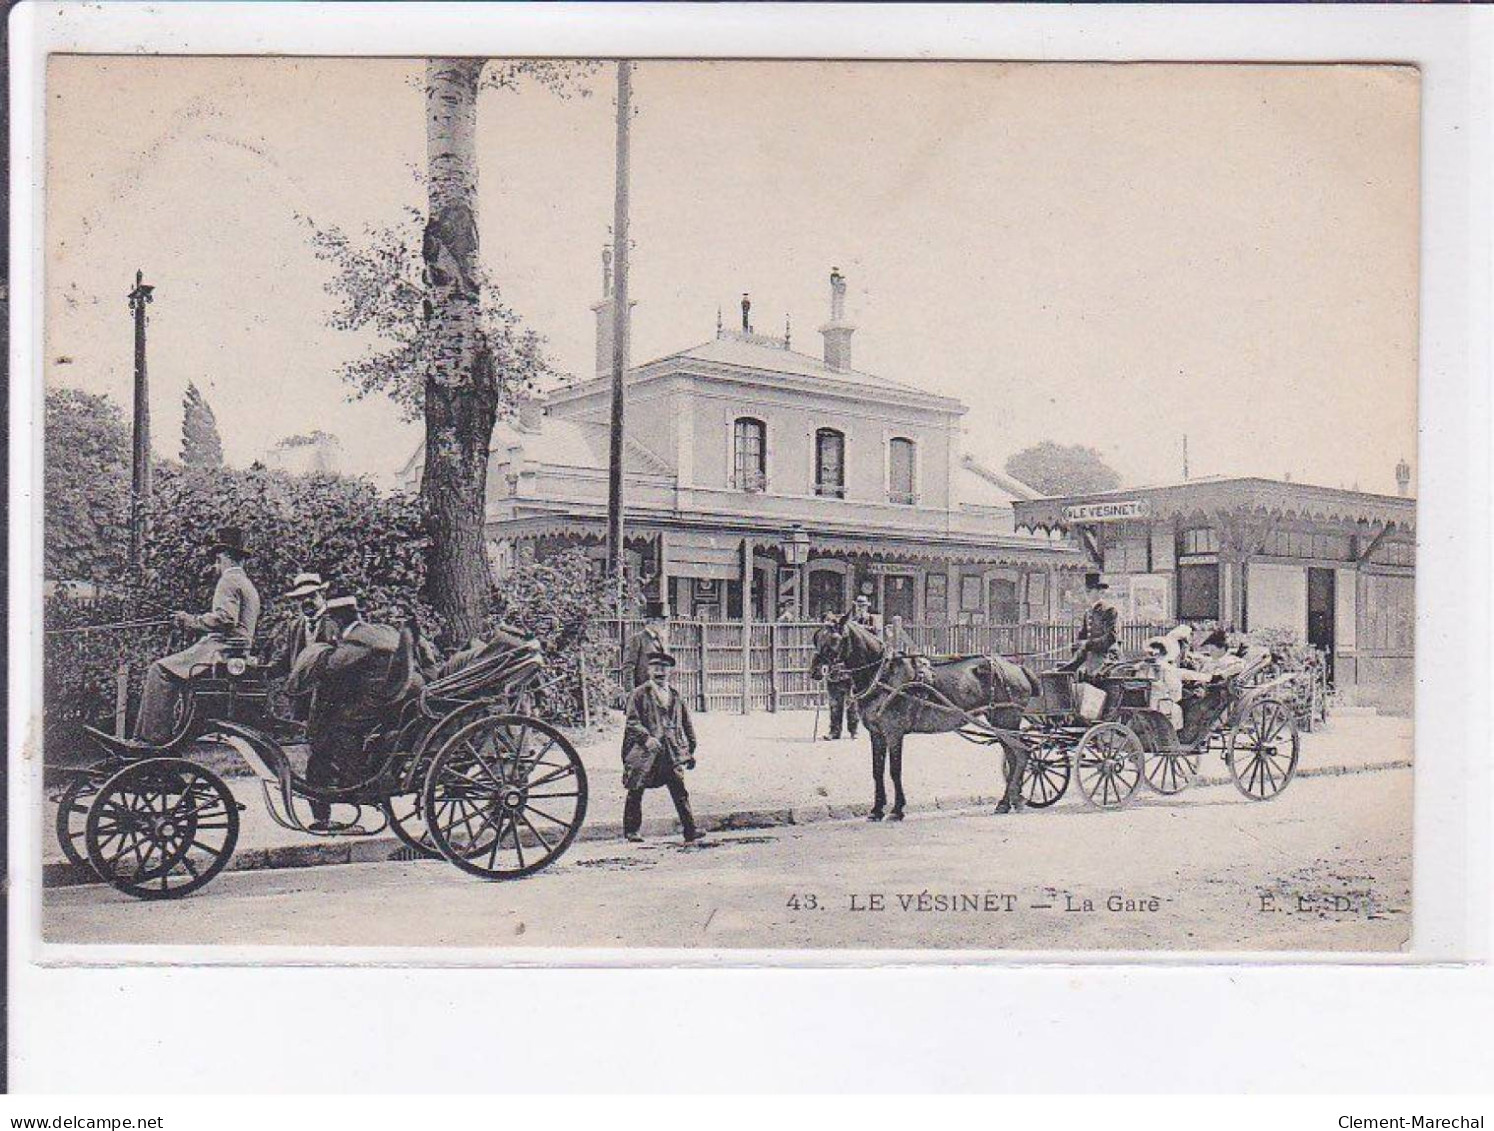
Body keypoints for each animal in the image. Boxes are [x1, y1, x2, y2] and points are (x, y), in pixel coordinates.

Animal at [812, 612, 1033, 818]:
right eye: (816, 637)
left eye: (834, 639)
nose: (815, 671)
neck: (883, 674)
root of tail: (1018, 667)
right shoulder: (876, 734)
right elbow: (877, 771)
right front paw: (876, 810)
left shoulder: (894, 733)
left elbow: (894, 770)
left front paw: (897, 809)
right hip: (1000, 724)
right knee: (1013, 757)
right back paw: (1009, 801)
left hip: (1006, 720)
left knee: (1021, 754)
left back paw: (1013, 799)